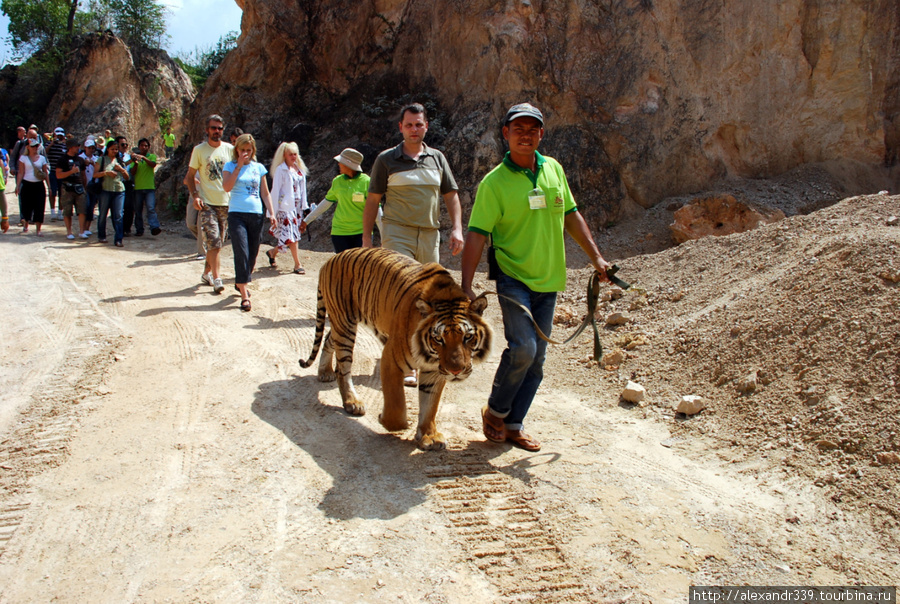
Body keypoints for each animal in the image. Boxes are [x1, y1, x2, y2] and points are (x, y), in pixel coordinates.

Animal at [298, 245, 492, 448]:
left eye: (467, 337)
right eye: (439, 339)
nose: (456, 371)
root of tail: (329, 261)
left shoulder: (434, 370)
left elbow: (430, 404)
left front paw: (429, 435)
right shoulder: (391, 358)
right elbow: (396, 402)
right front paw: (389, 421)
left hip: (340, 324)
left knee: (329, 339)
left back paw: (324, 372)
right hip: (345, 325)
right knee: (343, 368)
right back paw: (352, 401)